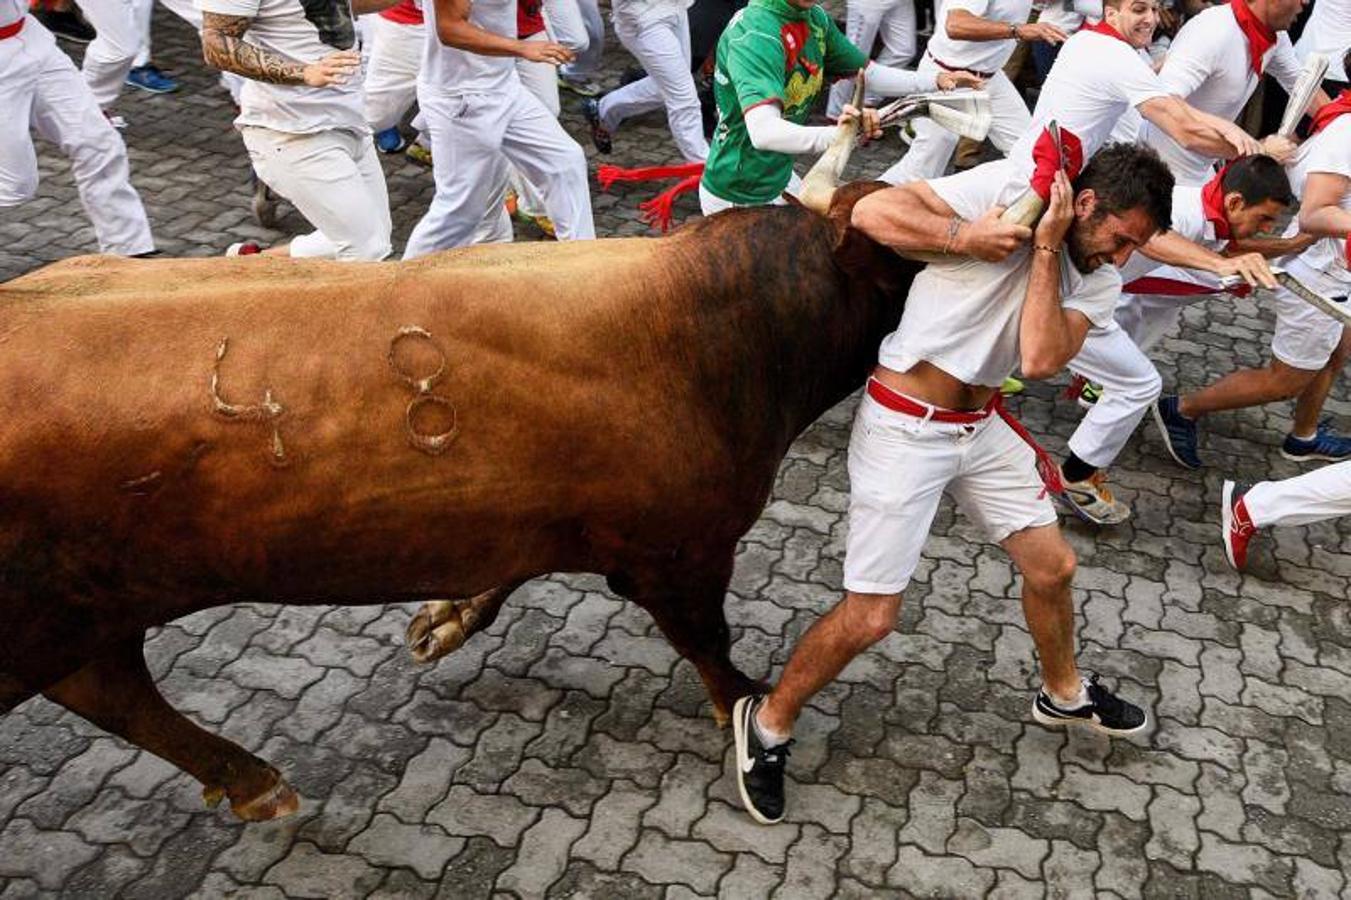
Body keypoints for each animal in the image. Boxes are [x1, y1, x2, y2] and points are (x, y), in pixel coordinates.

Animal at [0, 182, 918, 821]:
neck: (728, 331)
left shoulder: (540, 521)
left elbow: (506, 572)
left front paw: (443, 621)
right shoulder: (678, 550)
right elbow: (712, 648)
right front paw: (750, 724)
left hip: (90, 610)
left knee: (111, 691)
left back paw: (253, 783)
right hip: (47, 620)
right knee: (110, 693)